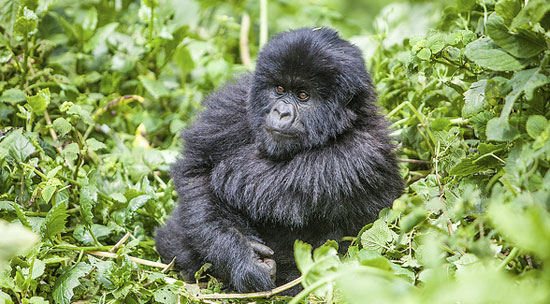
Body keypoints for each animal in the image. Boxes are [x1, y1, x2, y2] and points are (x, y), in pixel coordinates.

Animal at [155, 27, 406, 292]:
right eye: (279, 90)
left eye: (303, 95)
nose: (282, 112)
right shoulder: (232, 106)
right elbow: (197, 174)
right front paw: (243, 257)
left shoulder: (361, 154)